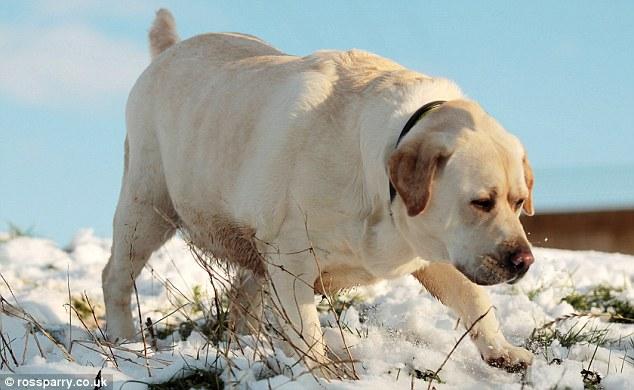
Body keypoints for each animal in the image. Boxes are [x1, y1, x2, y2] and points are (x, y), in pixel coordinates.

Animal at [102, 9, 532, 374]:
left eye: (518, 202)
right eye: (481, 202)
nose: (524, 261)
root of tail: (169, 49)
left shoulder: (432, 248)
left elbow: (474, 298)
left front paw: (502, 351)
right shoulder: (291, 258)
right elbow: (307, 332)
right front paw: (325, 374)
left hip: (253, 246)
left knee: (242, 298)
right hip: (147, 207)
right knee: (116, 276)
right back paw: (125, 342)